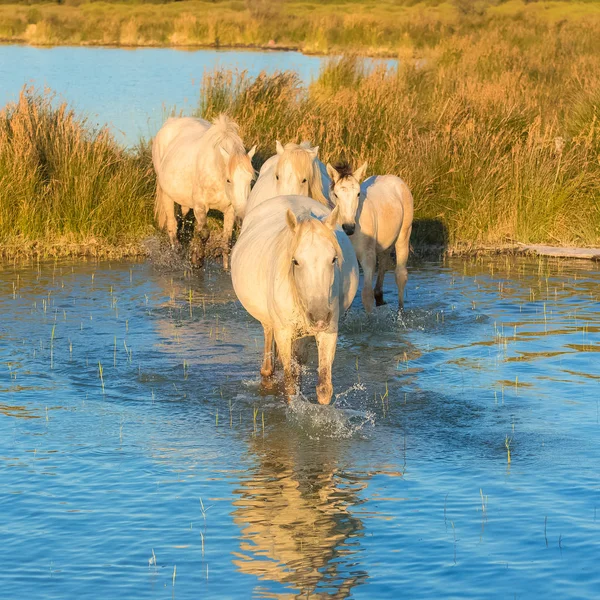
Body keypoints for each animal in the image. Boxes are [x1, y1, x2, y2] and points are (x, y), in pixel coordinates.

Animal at [152, 115, 255, 268]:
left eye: (250, 180)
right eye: (229, 180)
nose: (243, 216)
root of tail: (170, 121)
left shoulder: (230, 210)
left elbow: (226, 241)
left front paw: (226, 268)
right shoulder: (200, 206)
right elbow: (204, 233)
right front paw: (198, 259)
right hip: (166, 194)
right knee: (172, 225)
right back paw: (176, 253)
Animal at [232, 195, 358, 406]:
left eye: (333, 259)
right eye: (296, 261)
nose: (319, 316)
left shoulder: (328, 331)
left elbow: (324, 389)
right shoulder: (283, 334)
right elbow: (289, 385)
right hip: (270, 323)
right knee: (270, 353)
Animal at [326, 164, 414, 314]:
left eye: (358, 194)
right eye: (336, 195)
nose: (349, 228)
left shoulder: (367, 256)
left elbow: (366, 295)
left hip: (404, 234)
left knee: (401, 275)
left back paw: (400, 313)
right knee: (384, 260)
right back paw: (379, 297)